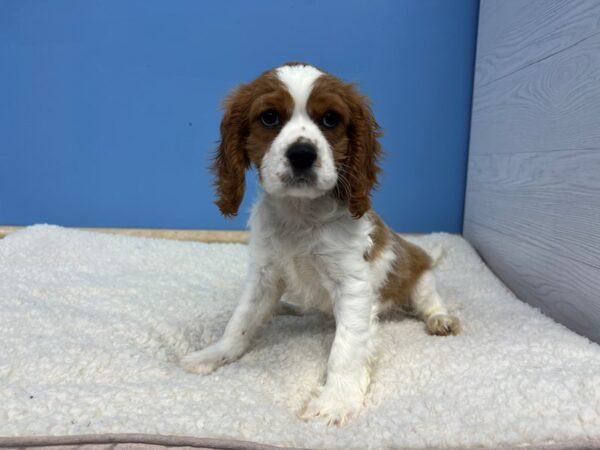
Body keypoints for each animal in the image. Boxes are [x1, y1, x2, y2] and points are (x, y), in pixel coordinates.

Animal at [180, 62, 462, 426]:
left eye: (330, 119)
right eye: (269, 118)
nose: (302, 154)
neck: (300, 214)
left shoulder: (352, 285)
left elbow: (345, 349)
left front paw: (336, 401)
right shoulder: (263, 275)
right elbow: (240, 322)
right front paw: (213, 354)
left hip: (419, 275)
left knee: (429, 300)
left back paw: (440, 319)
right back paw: (288, 307)